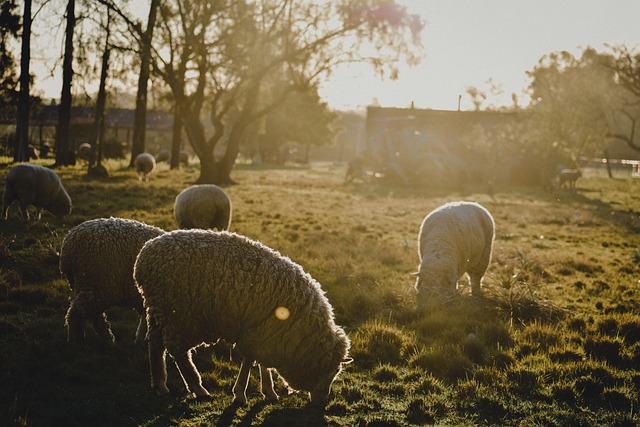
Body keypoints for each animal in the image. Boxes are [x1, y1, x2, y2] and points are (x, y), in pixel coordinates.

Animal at [133, 231, 352, 408]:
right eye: (333, 371)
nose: (322, 402)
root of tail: (143, 257)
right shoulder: (261, 331)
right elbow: (249, 361)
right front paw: (240, 394)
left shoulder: (265, 331)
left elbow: (261, 363)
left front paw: (269, 392)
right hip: (178, 314)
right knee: (178, 351)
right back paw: (198, 388)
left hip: (157, 309)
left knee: (155, 343)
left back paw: (160, 385)